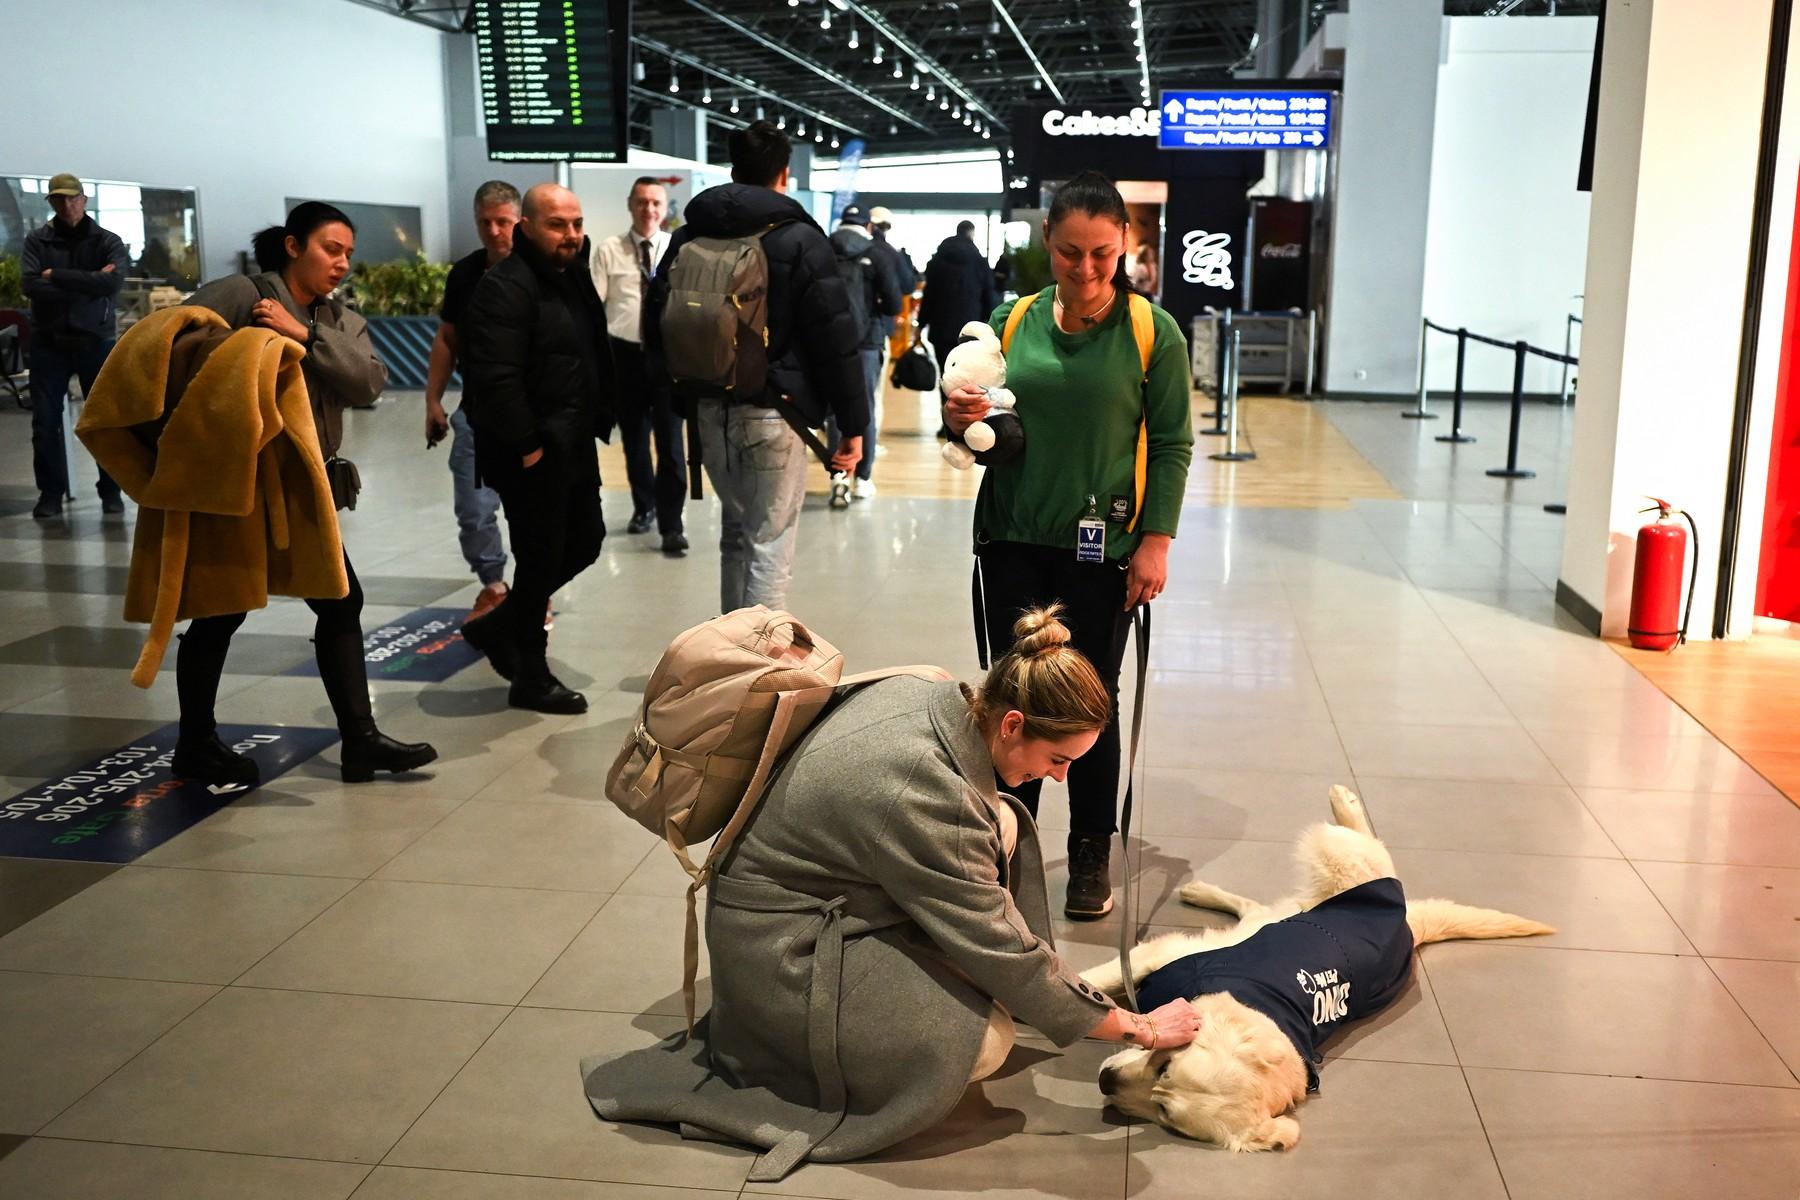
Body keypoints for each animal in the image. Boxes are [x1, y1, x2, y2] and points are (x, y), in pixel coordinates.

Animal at [1072, 788, 1555, 1151]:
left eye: (1165, 1113)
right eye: (1164, 1066)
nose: (1105, 1080)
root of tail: (1408, 927)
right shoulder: (1161, 957)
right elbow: (1095, 980)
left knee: (1262, 903)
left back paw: (1203, 890)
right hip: (1340, 866)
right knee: (1364, 845)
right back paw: (1343, 800)